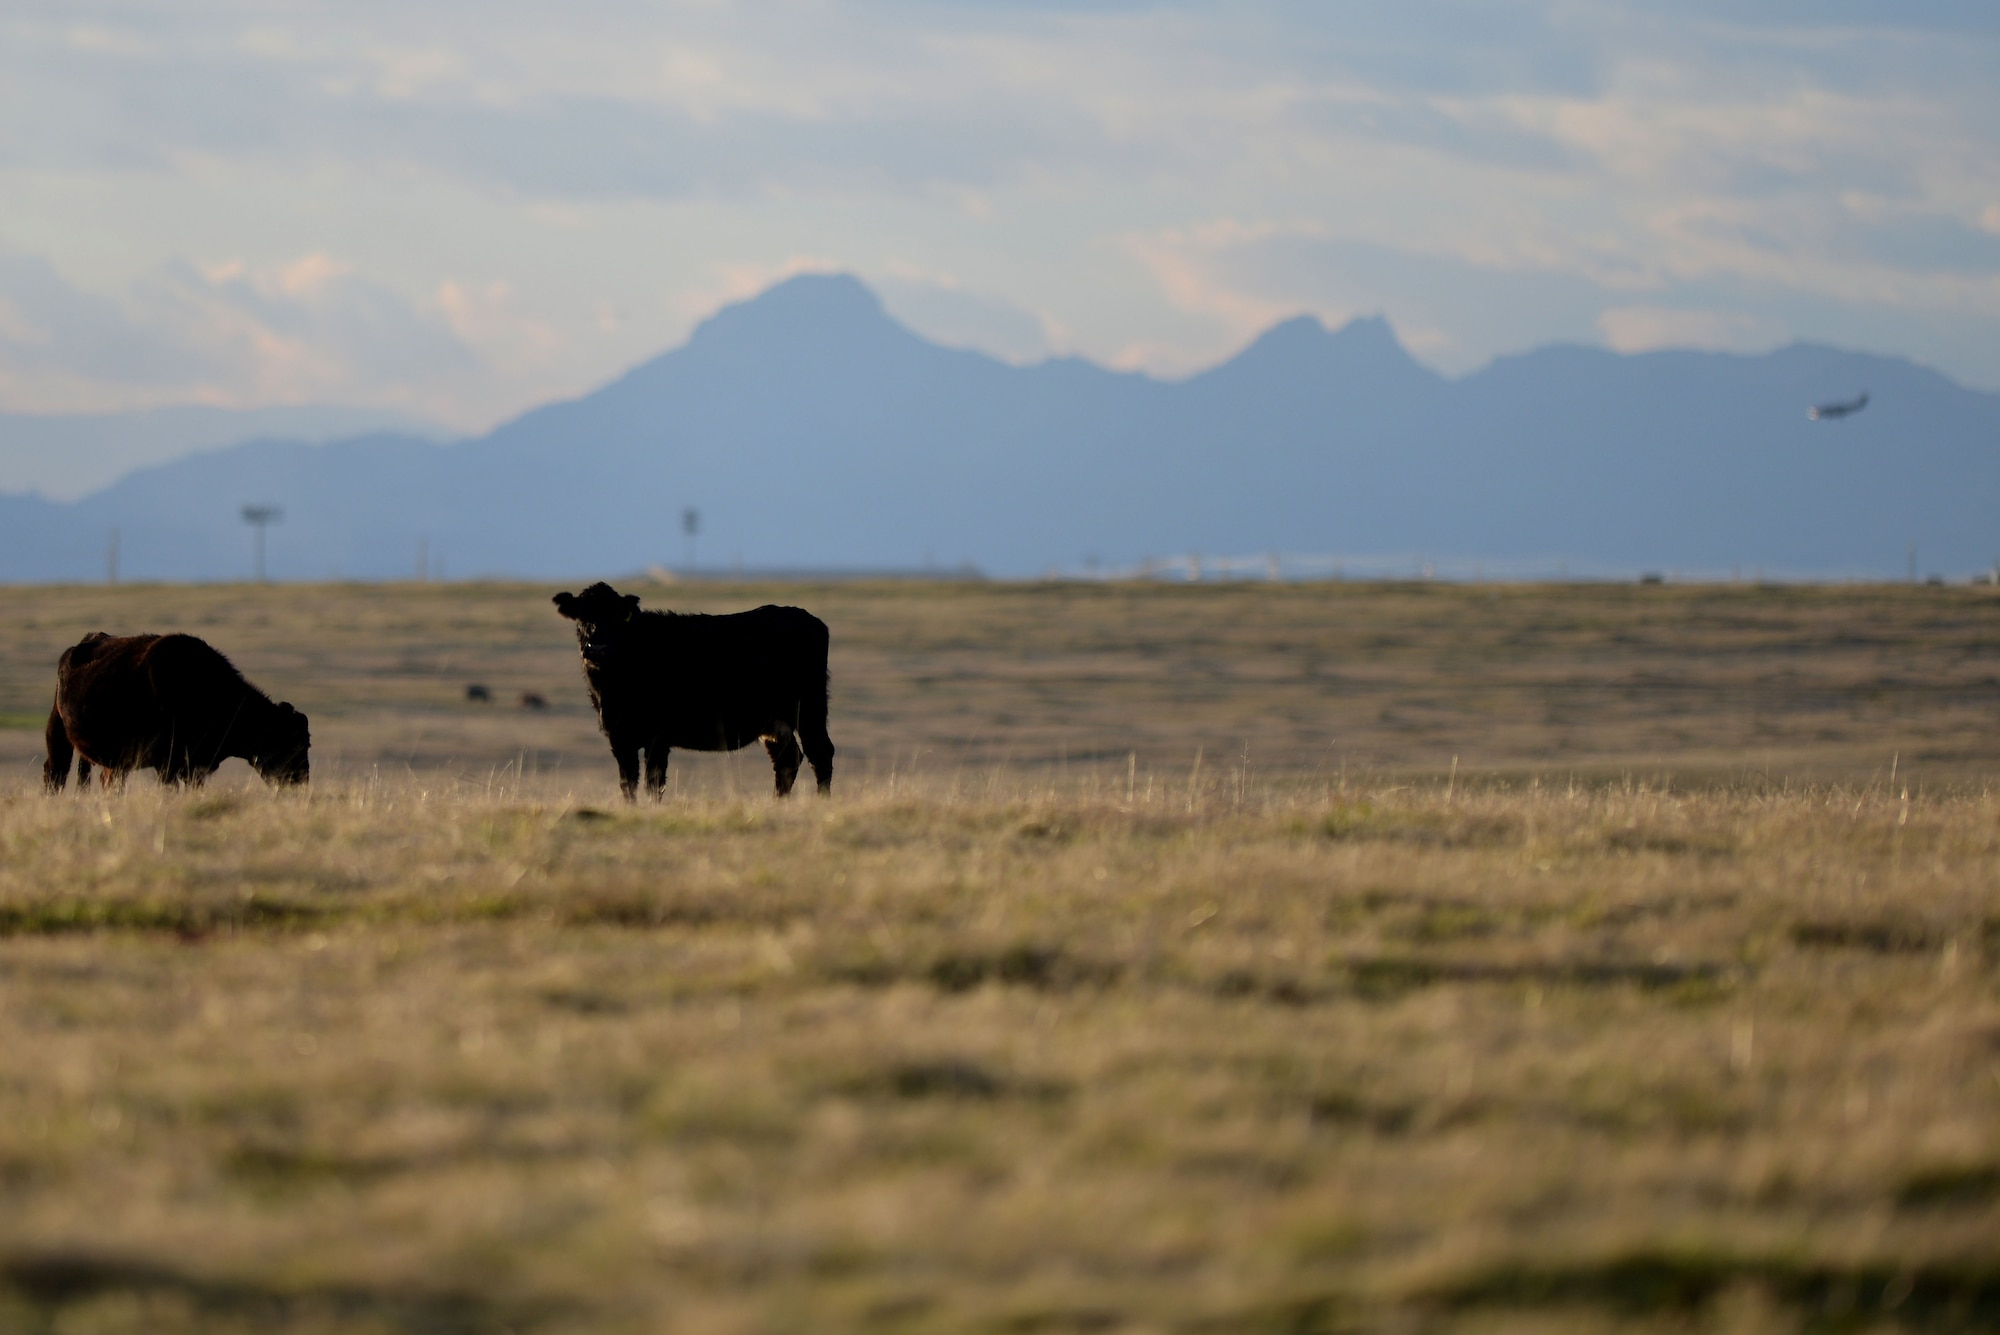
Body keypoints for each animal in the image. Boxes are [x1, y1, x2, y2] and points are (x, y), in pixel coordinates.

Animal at [41, 627, 308, 787]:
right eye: (295, 745)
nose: (300, 781)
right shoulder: (167, 765)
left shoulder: (194, 768)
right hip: (58, 735)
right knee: (55, 772)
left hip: (112, 763)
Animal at [552, 579, 832, 799]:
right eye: (581, 616)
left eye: (616, 618)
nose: (597, 648)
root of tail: (809, 619)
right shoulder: (619, 736)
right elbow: (627, 784)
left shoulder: (658, 735)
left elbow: (653, 783)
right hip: (775, 722)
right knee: (787, 760)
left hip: (810, 709)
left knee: (820, 754)